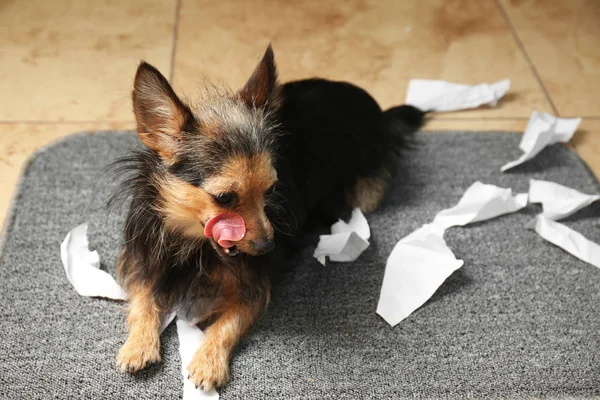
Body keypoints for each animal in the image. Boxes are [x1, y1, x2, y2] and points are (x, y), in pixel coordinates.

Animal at [111, 44, 422, 390]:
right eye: (225, 198)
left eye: (272, 189)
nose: (267, 248)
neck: (195, 246)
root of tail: (377, 111)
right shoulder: (144, 261)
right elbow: (143, 300)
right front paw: (138, 344)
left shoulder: (255, 287)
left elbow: (228, 323)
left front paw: (208, 360)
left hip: (365, 193)